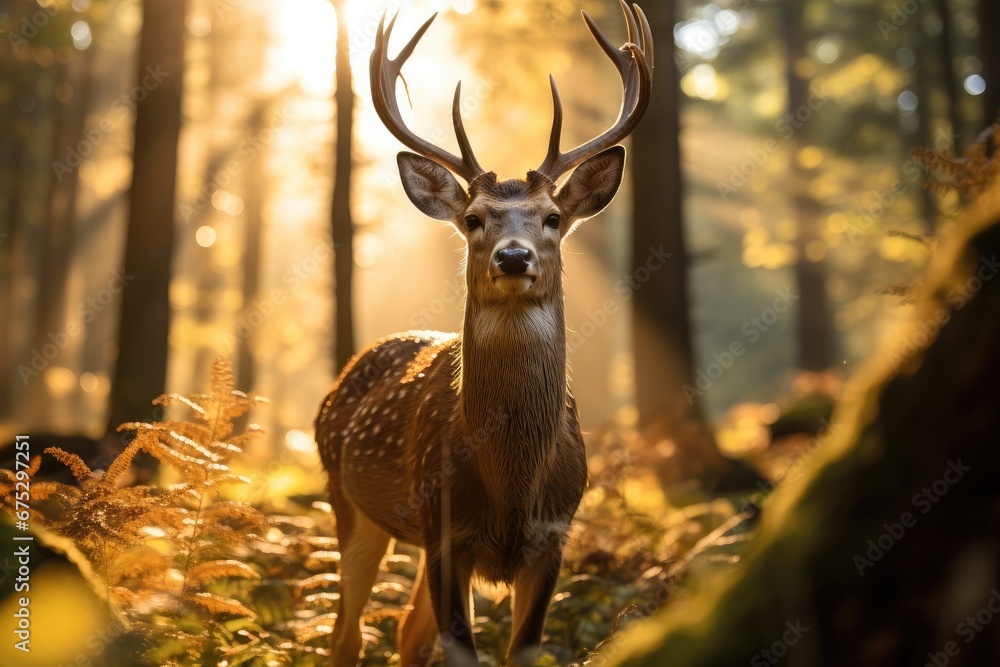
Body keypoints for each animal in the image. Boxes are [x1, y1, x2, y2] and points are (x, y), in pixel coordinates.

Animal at [316, 2, 652, 664]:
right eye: (473, 219)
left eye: (553, 217)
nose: (514, 257)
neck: (511, 491)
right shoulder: (445, 531)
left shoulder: (554, 538)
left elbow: (523, 647)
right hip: (348, 499)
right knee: (347, 633)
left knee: (404, 631)